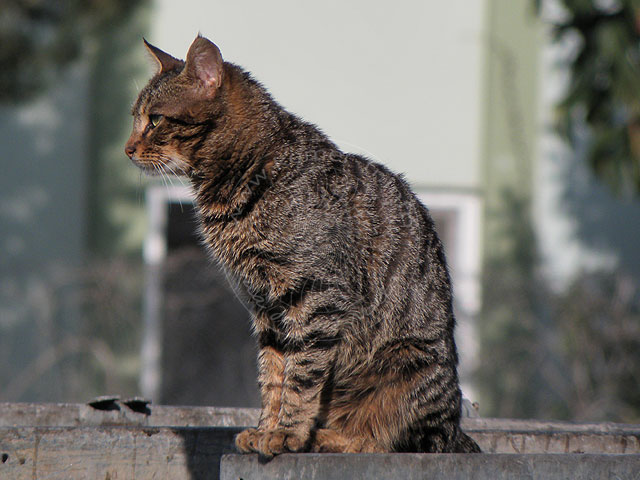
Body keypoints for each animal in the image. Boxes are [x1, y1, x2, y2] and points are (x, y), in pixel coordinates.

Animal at [126, 35, 480, 456]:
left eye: (155, 120)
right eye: (135, 118)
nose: (127, 148)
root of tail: (456, 430)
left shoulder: (316, 298)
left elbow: (302, 375)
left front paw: (287, 433)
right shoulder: (265, 310)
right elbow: (273, 377)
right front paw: (265, 428)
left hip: (406, 368)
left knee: (389, 440)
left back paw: (328, 438)